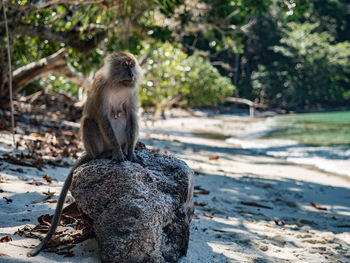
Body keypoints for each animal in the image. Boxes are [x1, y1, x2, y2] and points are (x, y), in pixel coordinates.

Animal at [27, 51, 142, 258]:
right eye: (125, 65)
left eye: (132, 65)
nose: (131, 74)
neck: (117, 83)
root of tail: (90, 151)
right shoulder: (100, 86)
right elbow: (103, 116)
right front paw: (119, 153)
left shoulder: (132, 91)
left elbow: (131, 116)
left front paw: (131, 153)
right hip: (95, 145)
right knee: (90, 120)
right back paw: (105, 154)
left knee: (123, 116)